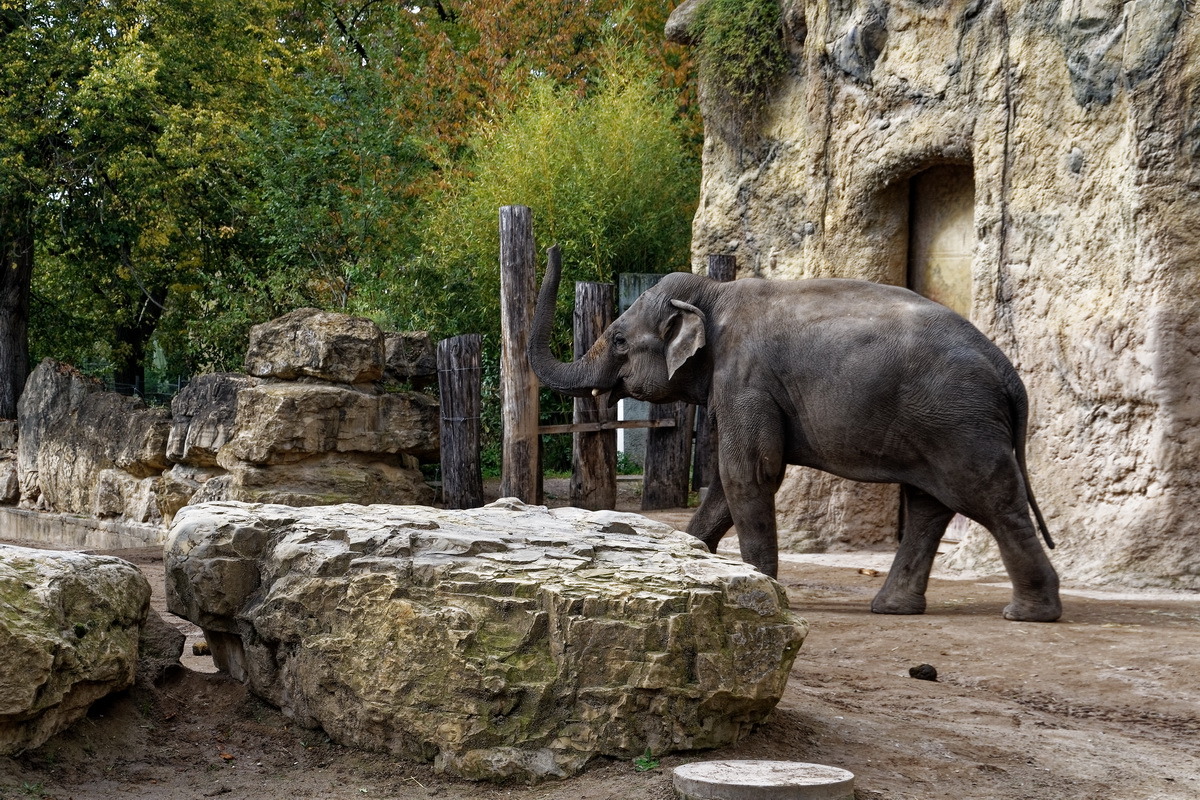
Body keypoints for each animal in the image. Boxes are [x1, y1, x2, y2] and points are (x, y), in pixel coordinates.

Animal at [528, 251, 1062, 622]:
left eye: (619, 339)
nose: (553, 246)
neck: (714, 294)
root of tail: (1008, 372)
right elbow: (727, 483)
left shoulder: (746, 378)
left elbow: (749, 472)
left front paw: (762, 589)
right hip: (938, 423)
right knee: (930, 505)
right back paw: (893, 607)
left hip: (959, 421)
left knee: (991, 499)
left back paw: (1029, 613)